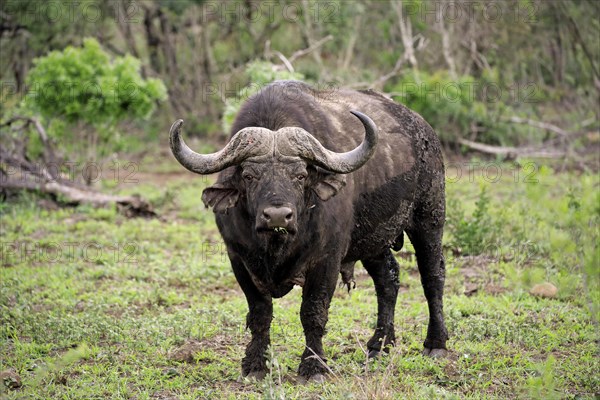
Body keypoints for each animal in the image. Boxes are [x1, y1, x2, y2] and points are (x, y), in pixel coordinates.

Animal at [169, 80, 446, 382]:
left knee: (433, 277)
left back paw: (435, 343)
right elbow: (259, 312)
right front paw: (255, 365)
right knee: (388, 280)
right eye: (249, 176)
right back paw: (379, 346)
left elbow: (313, 312)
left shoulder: (326, 259)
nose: (278, 215)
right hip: (374, 239)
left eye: (300, 175)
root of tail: (424, 130)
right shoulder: (238, 259)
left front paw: (314, 367)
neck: (276, 244)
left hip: (429, 217)